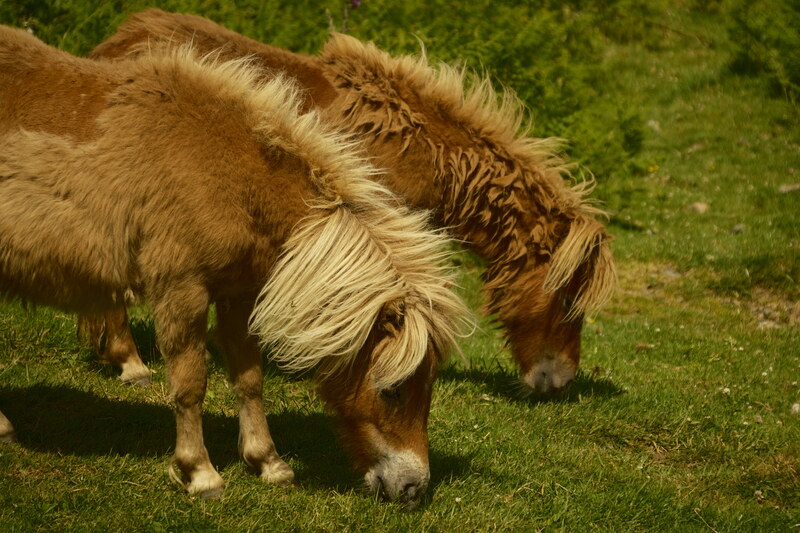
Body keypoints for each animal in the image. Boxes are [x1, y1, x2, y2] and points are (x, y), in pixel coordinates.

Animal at [0, 25, 470, 507]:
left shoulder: (239, 294)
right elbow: (190, 385)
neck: (223, 169)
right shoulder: (182, 291)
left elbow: (249, 378)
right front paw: (200, 473)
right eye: (393, 390)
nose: (413, 488)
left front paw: (267, 463)